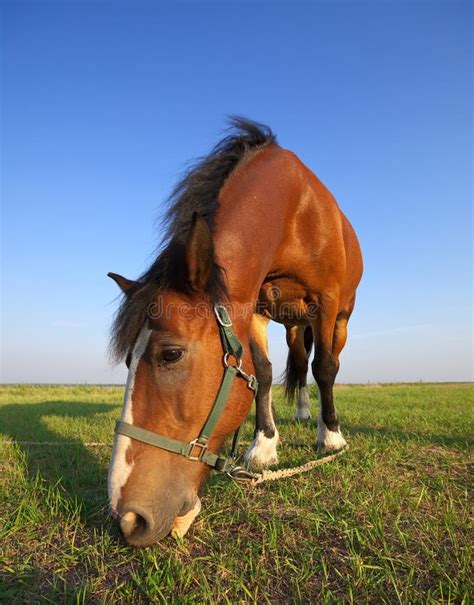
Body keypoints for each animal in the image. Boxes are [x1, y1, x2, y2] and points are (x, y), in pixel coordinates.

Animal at [108, 118, 362, 548]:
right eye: (127, 360)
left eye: (171, 354)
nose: (128, 517)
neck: (294, 210)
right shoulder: (253, 306)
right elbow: (262, 373)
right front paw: (264, 444)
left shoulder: (326, 301)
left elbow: (325, 368)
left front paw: (331, 437)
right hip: (294, 323)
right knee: (298, 362)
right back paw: (302, 411)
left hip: (339, 318)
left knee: (326, 363)